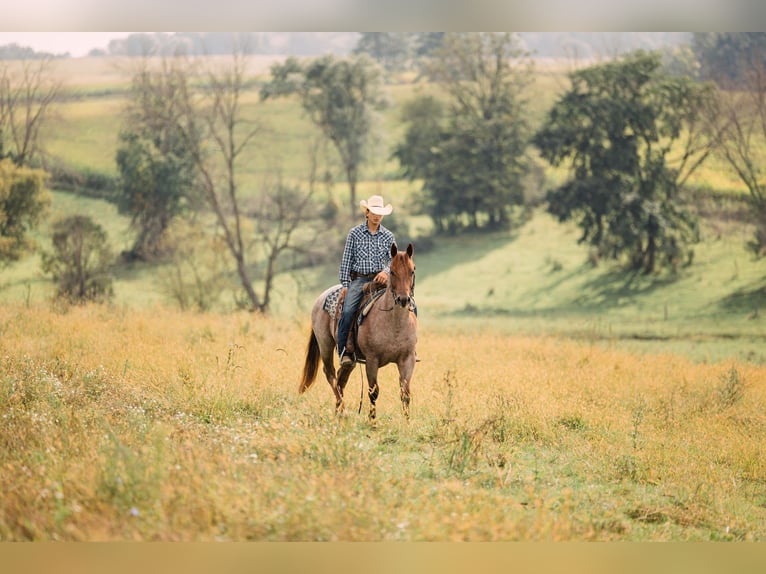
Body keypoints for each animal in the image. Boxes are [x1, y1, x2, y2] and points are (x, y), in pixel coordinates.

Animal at [299, 243, 417, 420]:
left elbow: (405, 394)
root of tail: (321, 297)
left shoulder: (407, 360)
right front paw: (372, 421)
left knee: (341, 377)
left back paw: (339, 412)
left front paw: (407, 422)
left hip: (349, 358)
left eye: (412, 270)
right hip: (325, 344)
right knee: (330, 374)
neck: (394, 324)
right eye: (393, 271)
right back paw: (343, 409)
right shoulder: (372, 360)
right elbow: (373, 392)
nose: (403, 299)